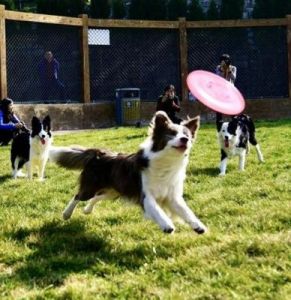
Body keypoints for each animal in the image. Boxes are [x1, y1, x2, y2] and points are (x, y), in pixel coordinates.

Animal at [50, 110, 209, 234]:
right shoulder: (145, 195)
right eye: (171, 134)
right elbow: (157, 210)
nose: (185, 139)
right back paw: (66, 214)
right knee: (78, 196)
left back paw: (87, 210)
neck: (167, 160)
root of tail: (99, 153)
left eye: (187, 134)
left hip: (113, 190)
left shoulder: (172, 196)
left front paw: (198, 226)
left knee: (96, 197)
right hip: (92, 186)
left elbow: (186, 211)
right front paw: (167, 225)